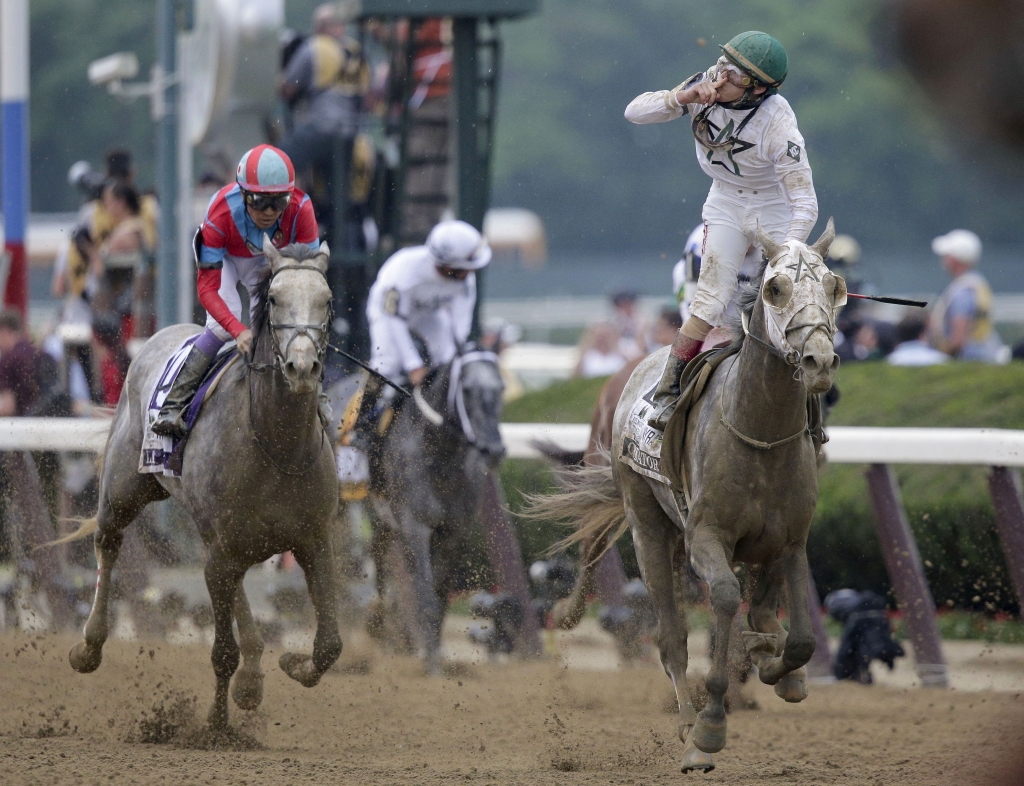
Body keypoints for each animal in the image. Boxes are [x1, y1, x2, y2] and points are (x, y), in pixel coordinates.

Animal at [61, 239, 342, 728]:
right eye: (273, 299)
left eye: (326, 300)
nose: (302, 366)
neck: (277, 444)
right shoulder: (222, 550)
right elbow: (221, 653)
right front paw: (215, 726)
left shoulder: (313, 539)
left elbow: (329, 645)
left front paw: (290, 663)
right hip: (125, 491)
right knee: (107, 542)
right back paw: (89, 646)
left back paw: (253, 675)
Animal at [372, 347, 507, 671]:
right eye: (467, 389)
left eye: (501, 388)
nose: (493, 450)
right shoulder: (414, 527)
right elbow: (424, 592)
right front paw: (431, 660)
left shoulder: (453, 532)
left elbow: (440, 593)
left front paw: (433, 650)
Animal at [528, 221, 839, 773]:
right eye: (776, 289)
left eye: (833, 287)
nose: (819, 360)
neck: (759, 431)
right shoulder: (706, 536)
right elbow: (724, 600)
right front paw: (710, 726)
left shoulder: (789, 539)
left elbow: (799, 636)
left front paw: (777, 663)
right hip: (648, 525)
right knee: (670, 635)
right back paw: (686, 721)